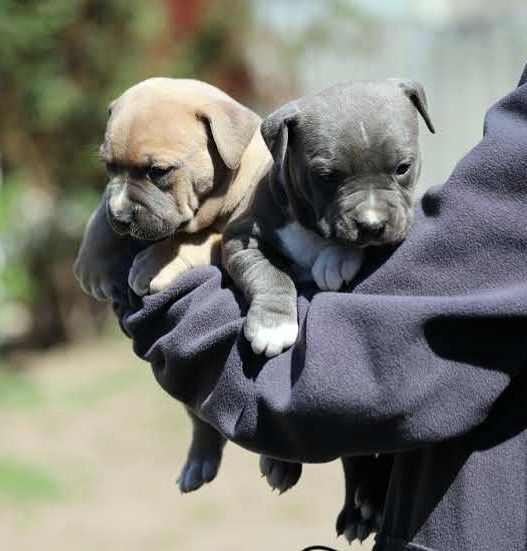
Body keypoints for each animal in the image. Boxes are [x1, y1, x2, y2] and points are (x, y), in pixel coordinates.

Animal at [74, 76, 270, 492]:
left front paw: (152, 263)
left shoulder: (231, 234)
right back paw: (199, 462)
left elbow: (197, 239)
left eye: (159, 172)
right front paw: (93, 258)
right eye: (109, 166)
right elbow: (104, 203)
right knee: (201, 423)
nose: (121, 218)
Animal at [223, 80, 434, 540]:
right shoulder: (239, 240)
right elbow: (271, 274)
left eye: (403, 167)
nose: (371, 224)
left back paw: (366, 504)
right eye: (326, 176)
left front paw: (336, 258)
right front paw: (273, 324)